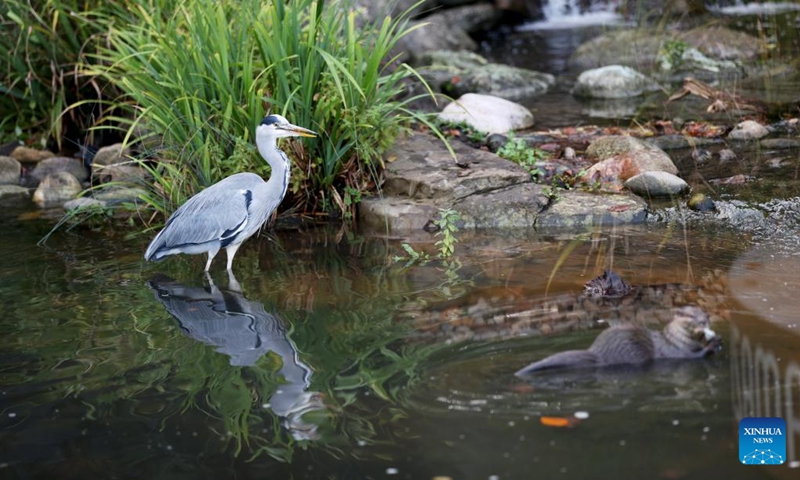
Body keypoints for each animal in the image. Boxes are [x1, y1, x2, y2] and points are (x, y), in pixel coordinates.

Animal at [515, 306, 721, 376]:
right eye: (690, 316)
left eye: (704, 312)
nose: (704, 320)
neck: (677, 340)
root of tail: (597, 353)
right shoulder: (676, 351)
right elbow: (696, 356)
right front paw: (712, 344)